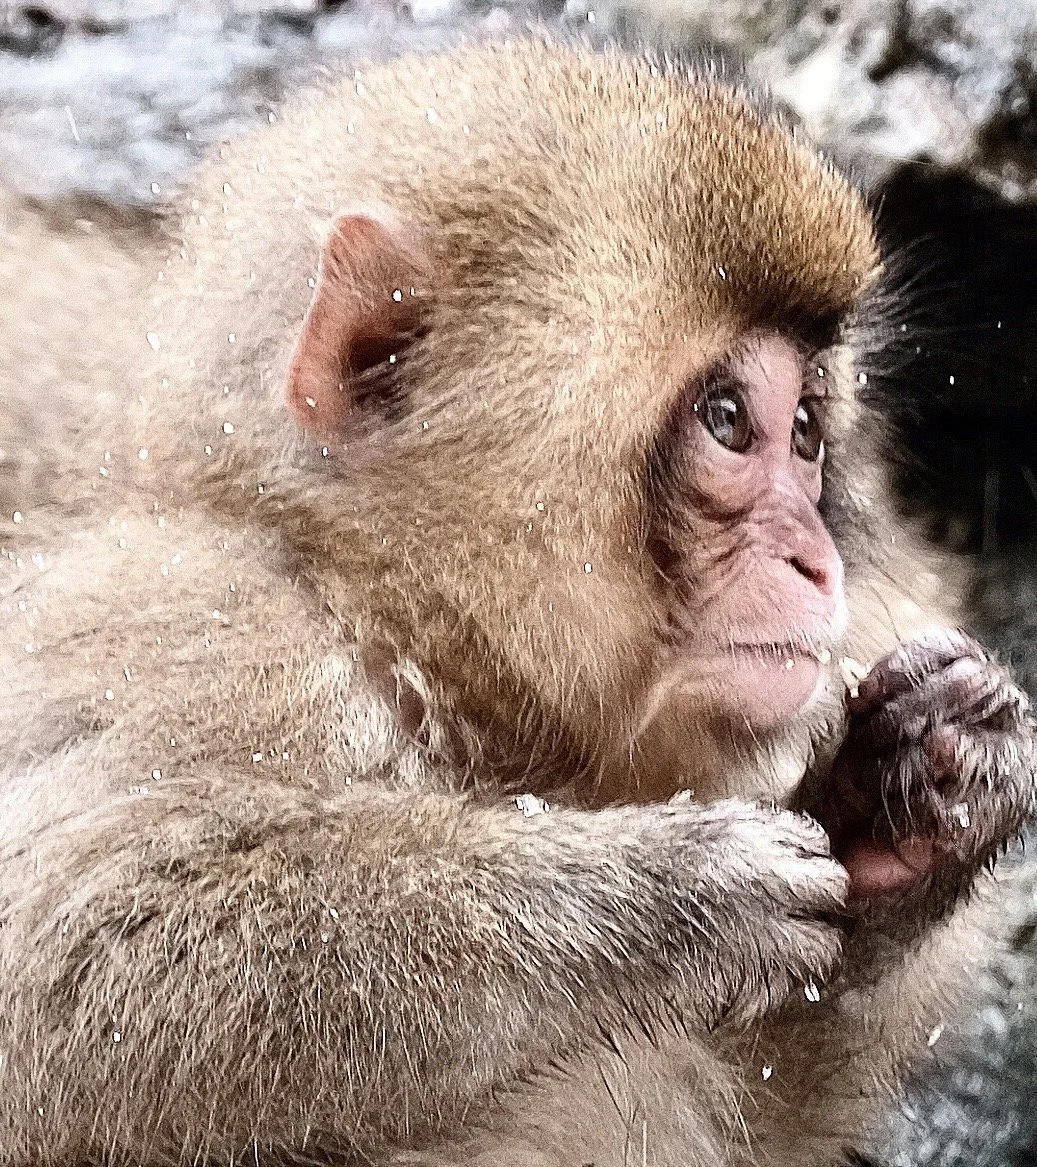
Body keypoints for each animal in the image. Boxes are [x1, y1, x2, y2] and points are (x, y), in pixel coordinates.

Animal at [0, 38, 1034, 1167]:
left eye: (805, 431)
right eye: (727, 419)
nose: (818, 560)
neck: (399, 627)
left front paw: (906, 793)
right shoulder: (201, 639)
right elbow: (59, 965)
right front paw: (659, 898)